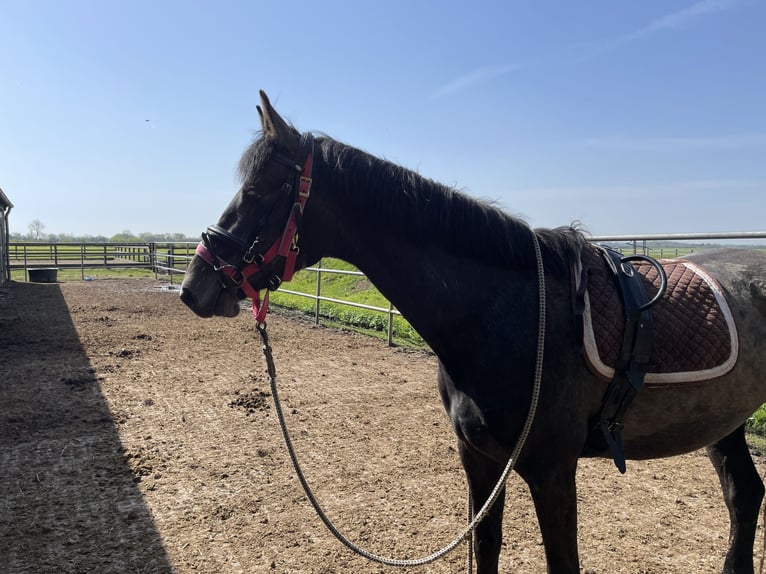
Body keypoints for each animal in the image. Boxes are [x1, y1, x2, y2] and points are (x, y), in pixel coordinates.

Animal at [182, 92, 766, 572]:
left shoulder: (552, 473)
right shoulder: (480, 461)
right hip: (724, 423)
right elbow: (485, 548)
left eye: (259, 189)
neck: (508, 317)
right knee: (744, 494)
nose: (194, 286)